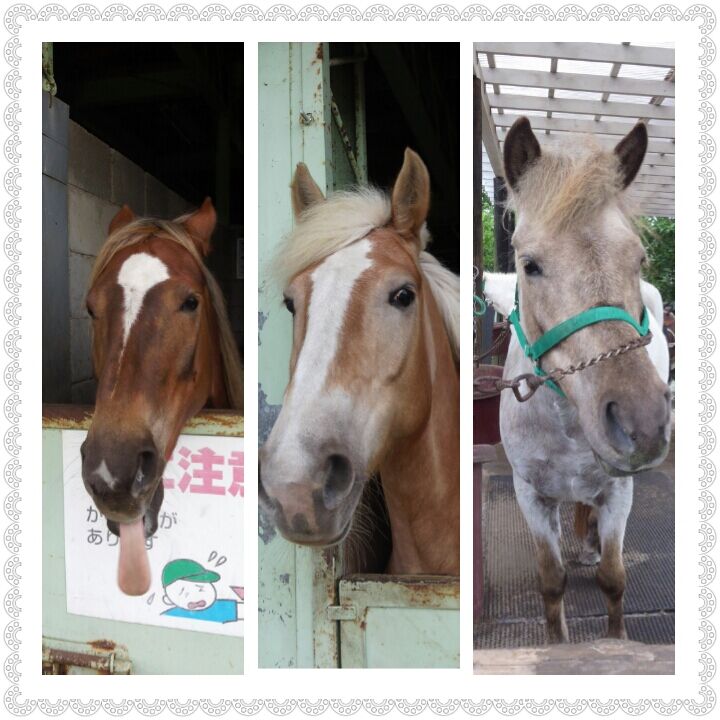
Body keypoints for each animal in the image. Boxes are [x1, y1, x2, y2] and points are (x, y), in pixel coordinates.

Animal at [484, 117, 672, 642]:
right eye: (529, 265)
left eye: (638, 259)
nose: (640, 424)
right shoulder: (530, 494)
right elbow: (551, 582)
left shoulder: (620, 490)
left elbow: (613, 578)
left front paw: (617, 643)